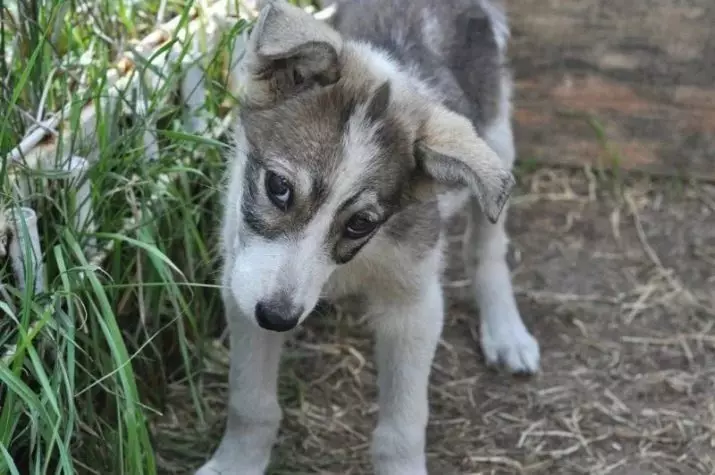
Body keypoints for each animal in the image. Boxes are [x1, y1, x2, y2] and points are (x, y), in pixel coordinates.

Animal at [199, 1, 540, 474]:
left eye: (360, 223)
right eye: (278, 187)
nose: (278, 318)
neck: (350, 264)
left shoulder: (414, 308)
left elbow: (402, 428)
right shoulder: (244, 284)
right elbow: (250, 402)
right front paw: (236, 463)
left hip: (495, 140)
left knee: (487, 247)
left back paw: (506, 331)